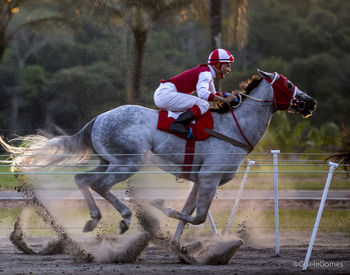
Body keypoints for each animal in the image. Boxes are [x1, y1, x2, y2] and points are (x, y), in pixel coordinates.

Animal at [0, 69, 318, 250]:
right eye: (288, 84)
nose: (311, 102)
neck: (233, 127)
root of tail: (98, 119)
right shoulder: (210, 179)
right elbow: (197, 216)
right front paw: (158, 207)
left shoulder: (199, 181)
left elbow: (190, 214)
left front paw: (177, 244)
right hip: (128, 163)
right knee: (98, 184)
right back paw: (124, 217)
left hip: (109, 161)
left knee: (83, 179)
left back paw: (97, 219)